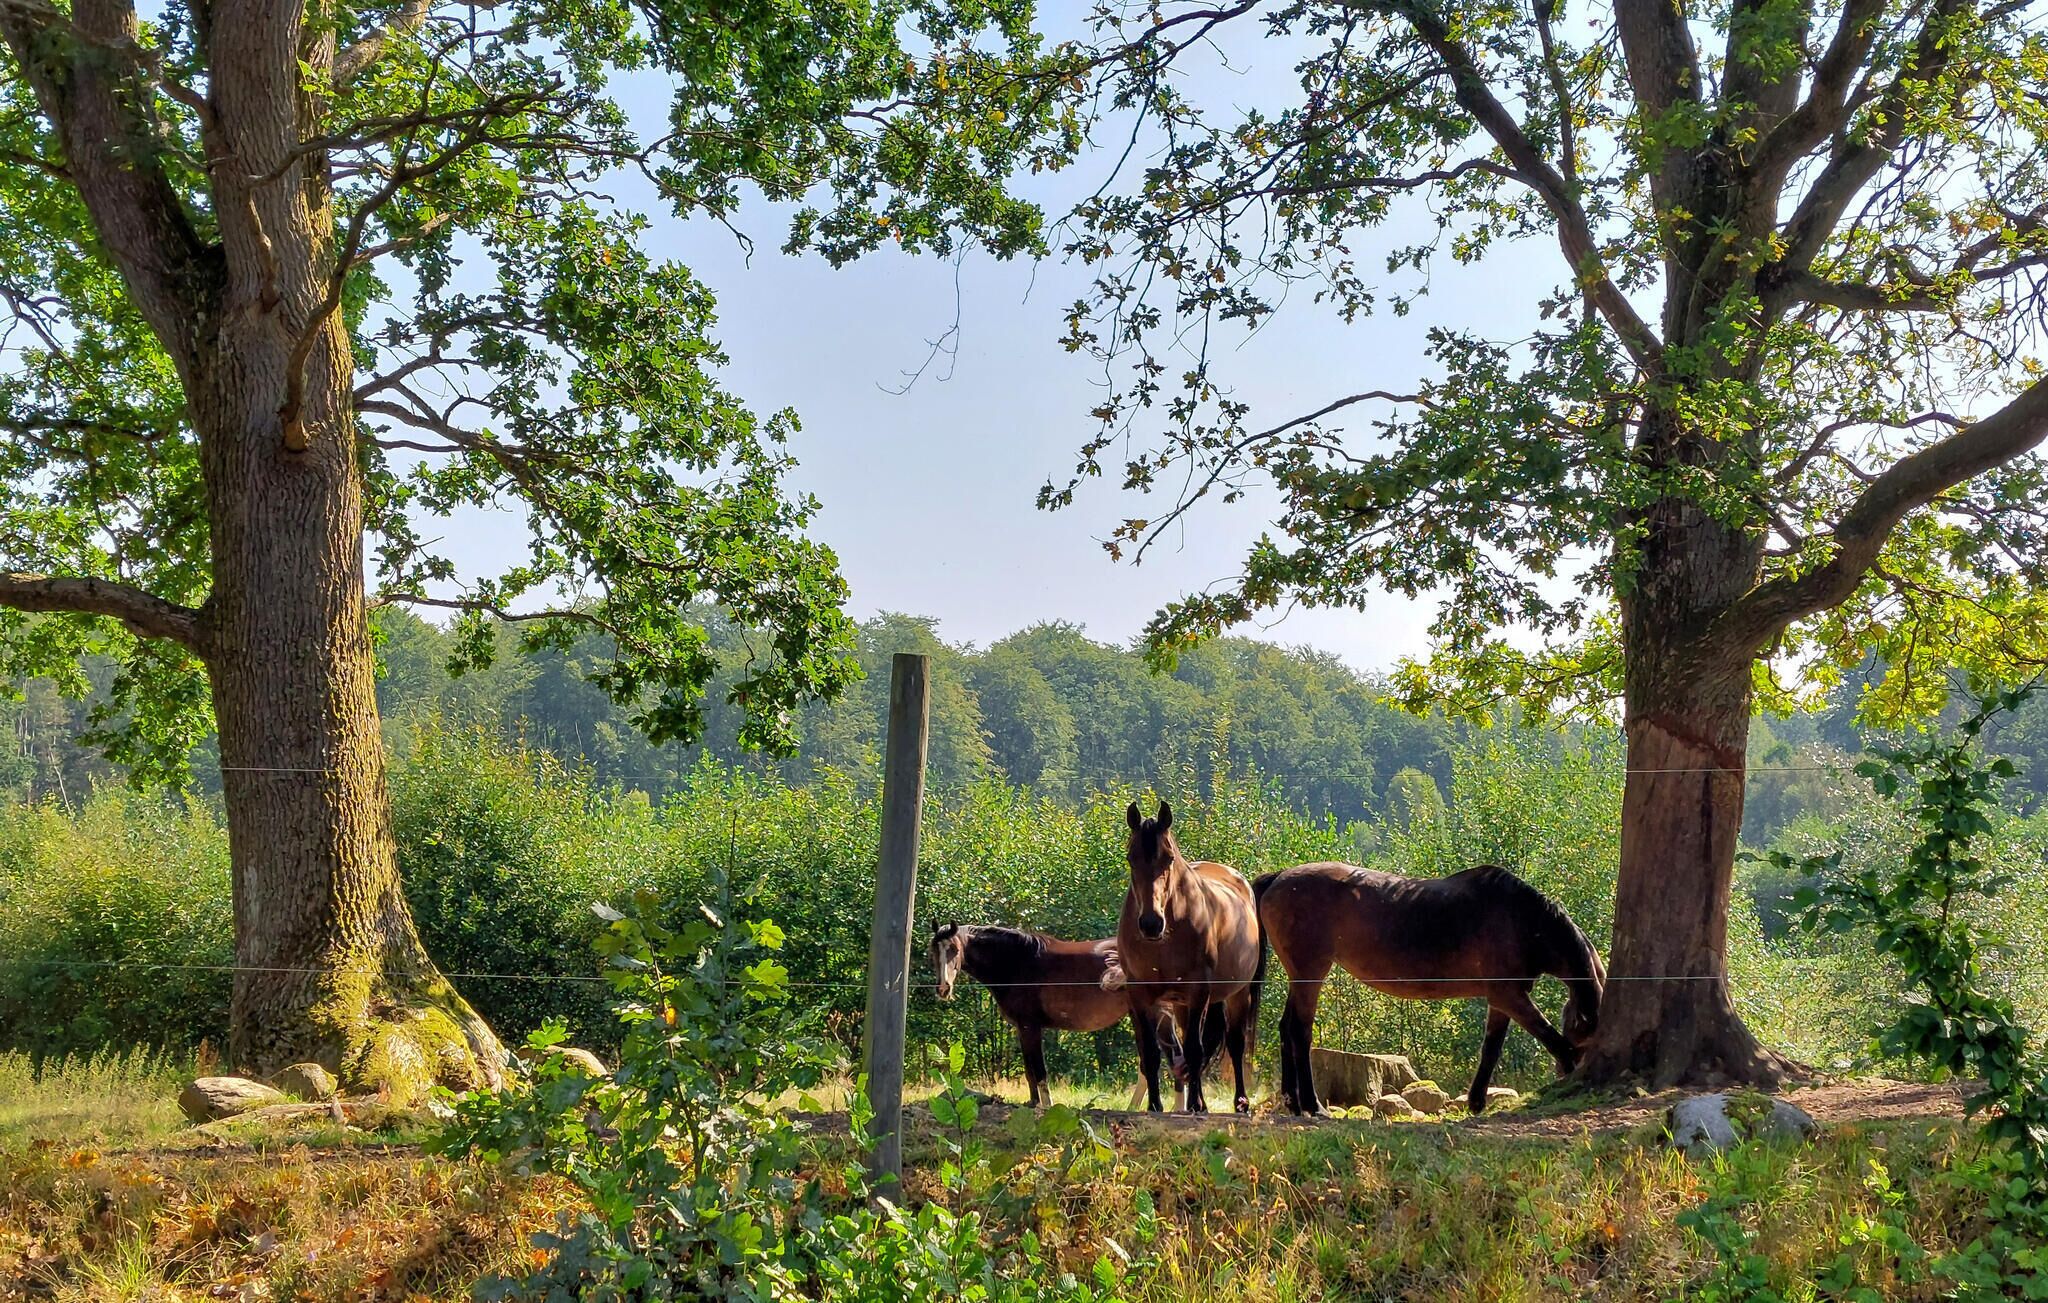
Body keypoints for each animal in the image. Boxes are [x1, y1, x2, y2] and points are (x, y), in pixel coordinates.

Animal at [927, 921, 1196, 1107]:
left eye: (954, 949)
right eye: (933, 951)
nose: (943, 989)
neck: (1016, 962)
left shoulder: (1030, 1027)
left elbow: (1039, 1070)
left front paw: (1047, 1107)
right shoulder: (1021, 1028)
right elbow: (1029, 1070)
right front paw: (1033, 1104)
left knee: (1168, 1057)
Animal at [1119, 800, 1264, 1113]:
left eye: (1169, 858)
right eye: (1130, 858)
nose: (1151, 923)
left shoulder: (1199, 993)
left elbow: (1196, 1050)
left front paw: (1197, 1105)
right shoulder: (1139, 995)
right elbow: (1150, 1054)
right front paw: (1155, 1106)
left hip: (1237, 993)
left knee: (1234, 1044)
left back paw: (1239, 1102)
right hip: (1181, 1004)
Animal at [1253, 862, 1606, 1116]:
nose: (1566, 1073)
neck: (1520, 920)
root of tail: (1279, 877)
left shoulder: (1502, 999)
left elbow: (1491, 1048)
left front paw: (1476, 1101)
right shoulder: (1511, 997)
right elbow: (1550, 1038)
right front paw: (1569, 1066)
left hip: (1300, 977)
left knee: (1286, 1028)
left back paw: (1293, 1102)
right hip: (1310, 974)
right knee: (1300, 1032)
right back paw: (1312, 1105)